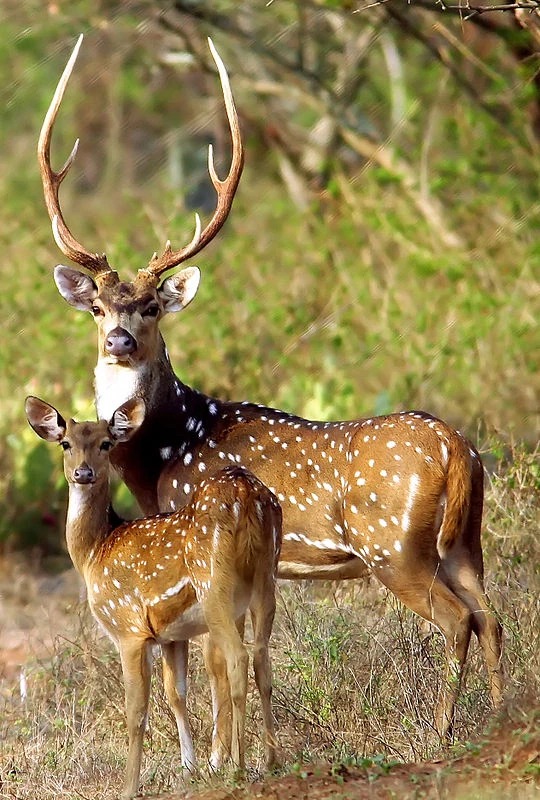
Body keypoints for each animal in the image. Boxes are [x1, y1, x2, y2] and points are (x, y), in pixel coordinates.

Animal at [25, 395, 282, 799]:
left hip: (215, 586)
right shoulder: (171, 634)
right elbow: (176, 694)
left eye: (106, 444)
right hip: (266, 576)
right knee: (261, 658)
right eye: (66, 443)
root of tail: (246, 495)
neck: (95, 552)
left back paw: (240, 767)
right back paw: (272, 760)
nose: (83, 473)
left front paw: (130, 786)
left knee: (238, 658)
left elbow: (136, 711)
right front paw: (190, 770)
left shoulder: (128, 627)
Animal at [37, 34, 503, 745]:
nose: (118, 338)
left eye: (151, 306)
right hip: (465, 540)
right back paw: (506, 713)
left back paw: (442, 730)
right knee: (493, 614)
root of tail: (458, 452)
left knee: (460, 619)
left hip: (394, 545)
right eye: (97, 307)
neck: (161, 452)